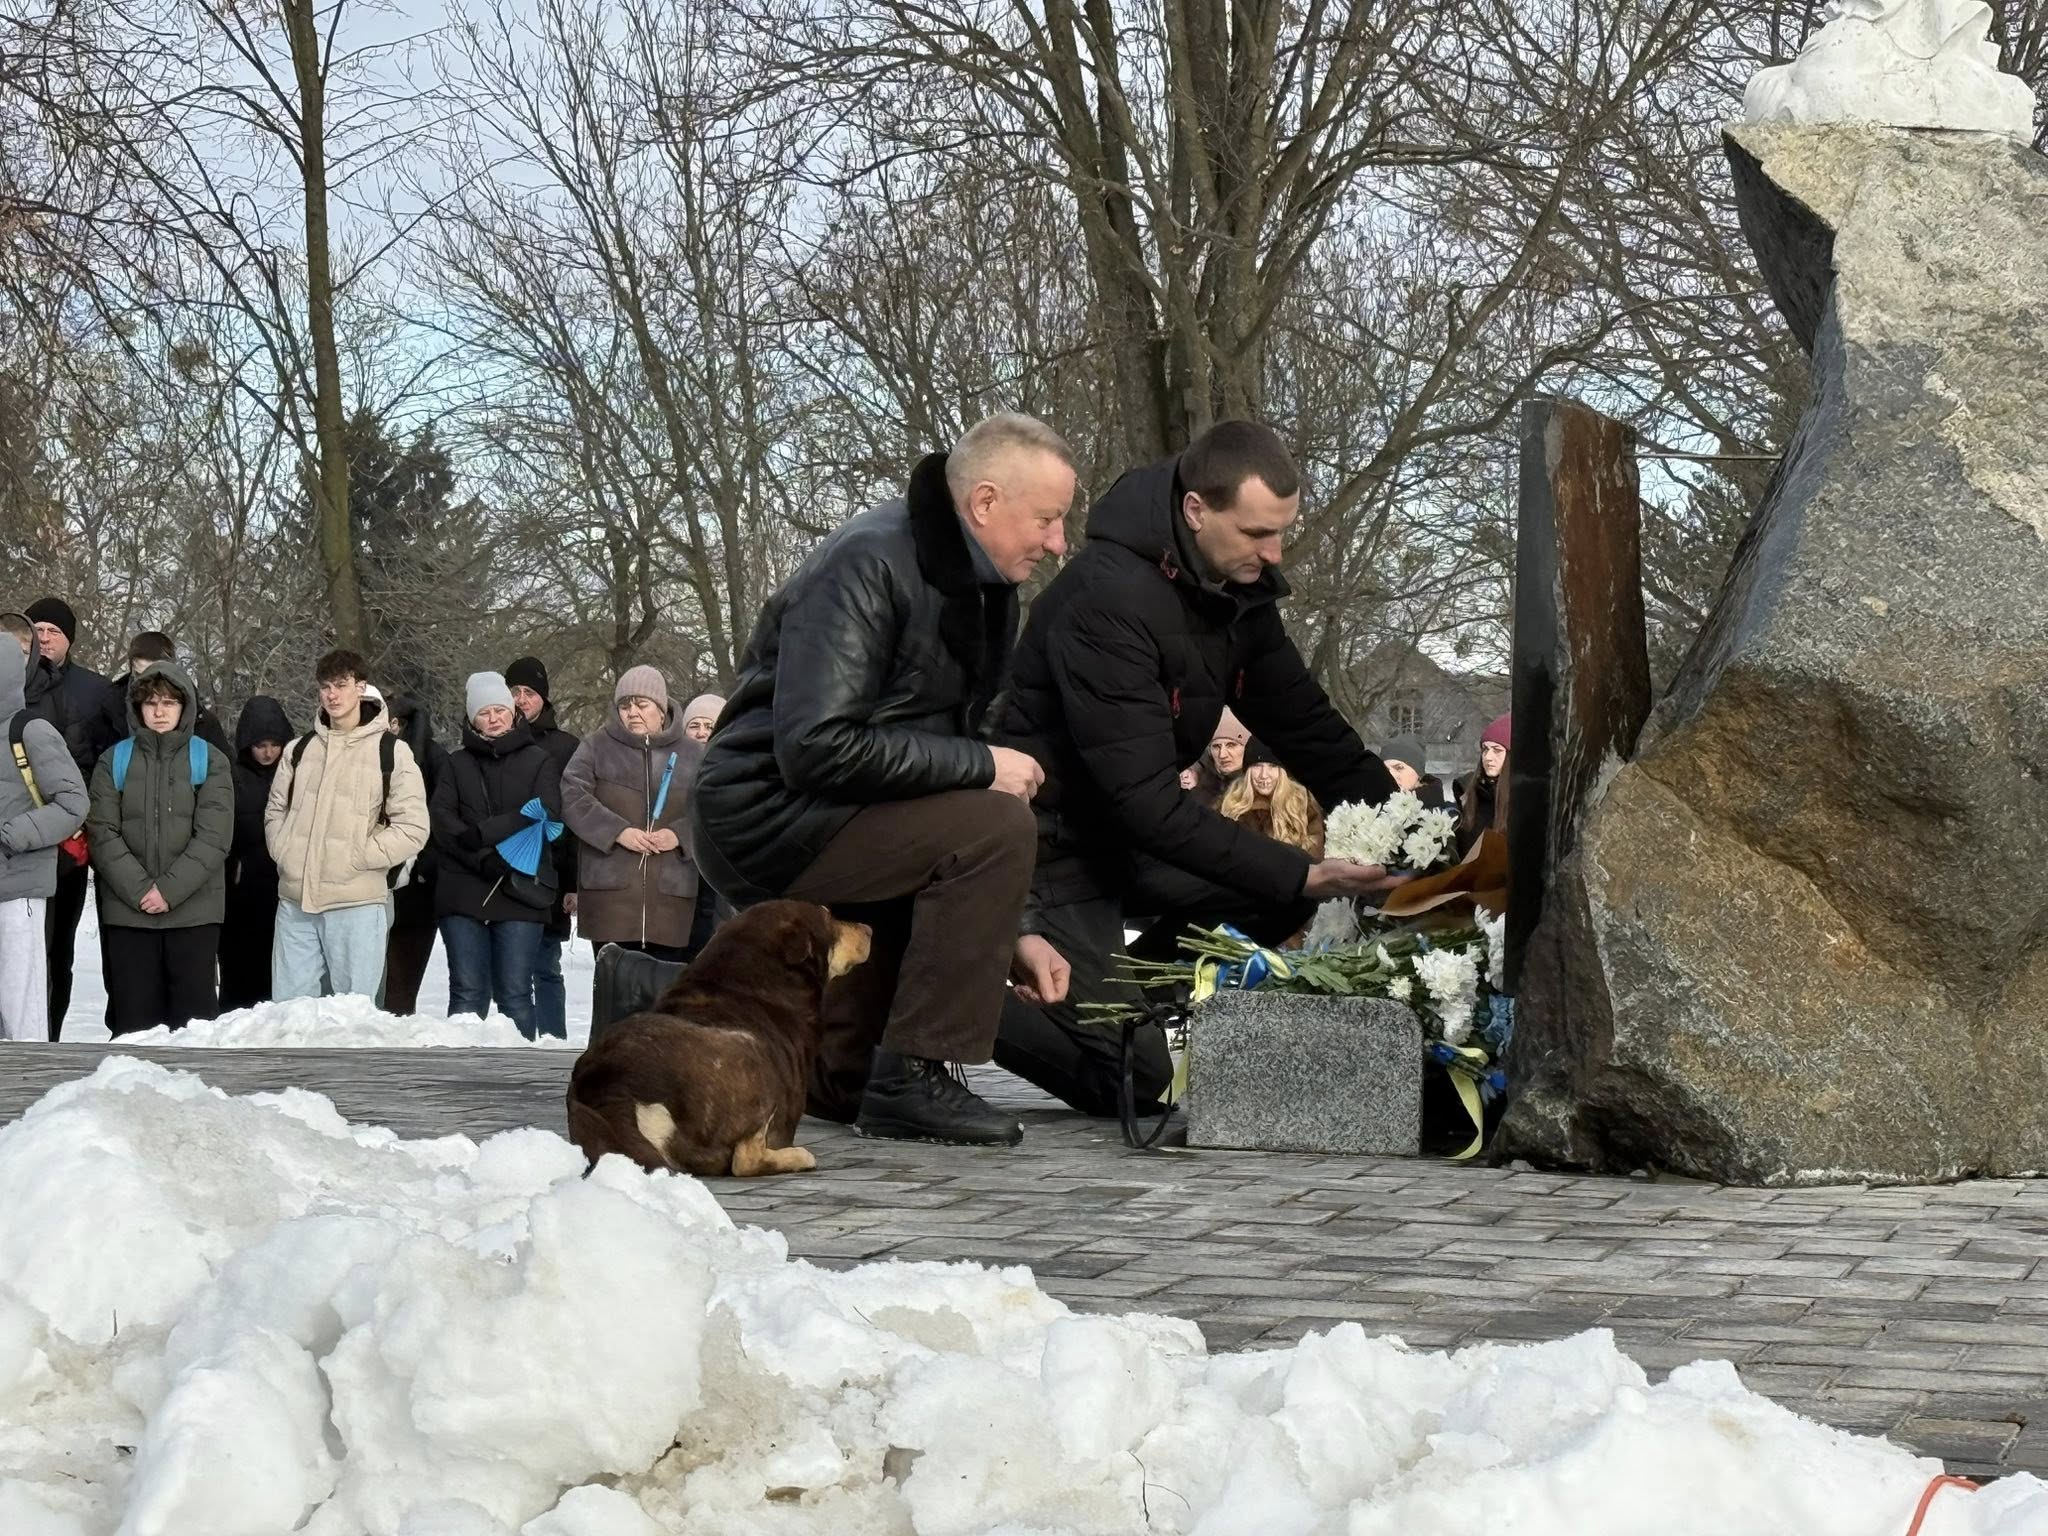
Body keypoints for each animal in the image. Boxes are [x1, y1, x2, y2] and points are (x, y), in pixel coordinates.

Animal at [565, 900, 870, 1177]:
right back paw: (798, 1156)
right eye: (829, 917)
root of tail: (608, 1082)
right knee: (744, 1161)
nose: (868, 928)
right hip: (751, 1059)